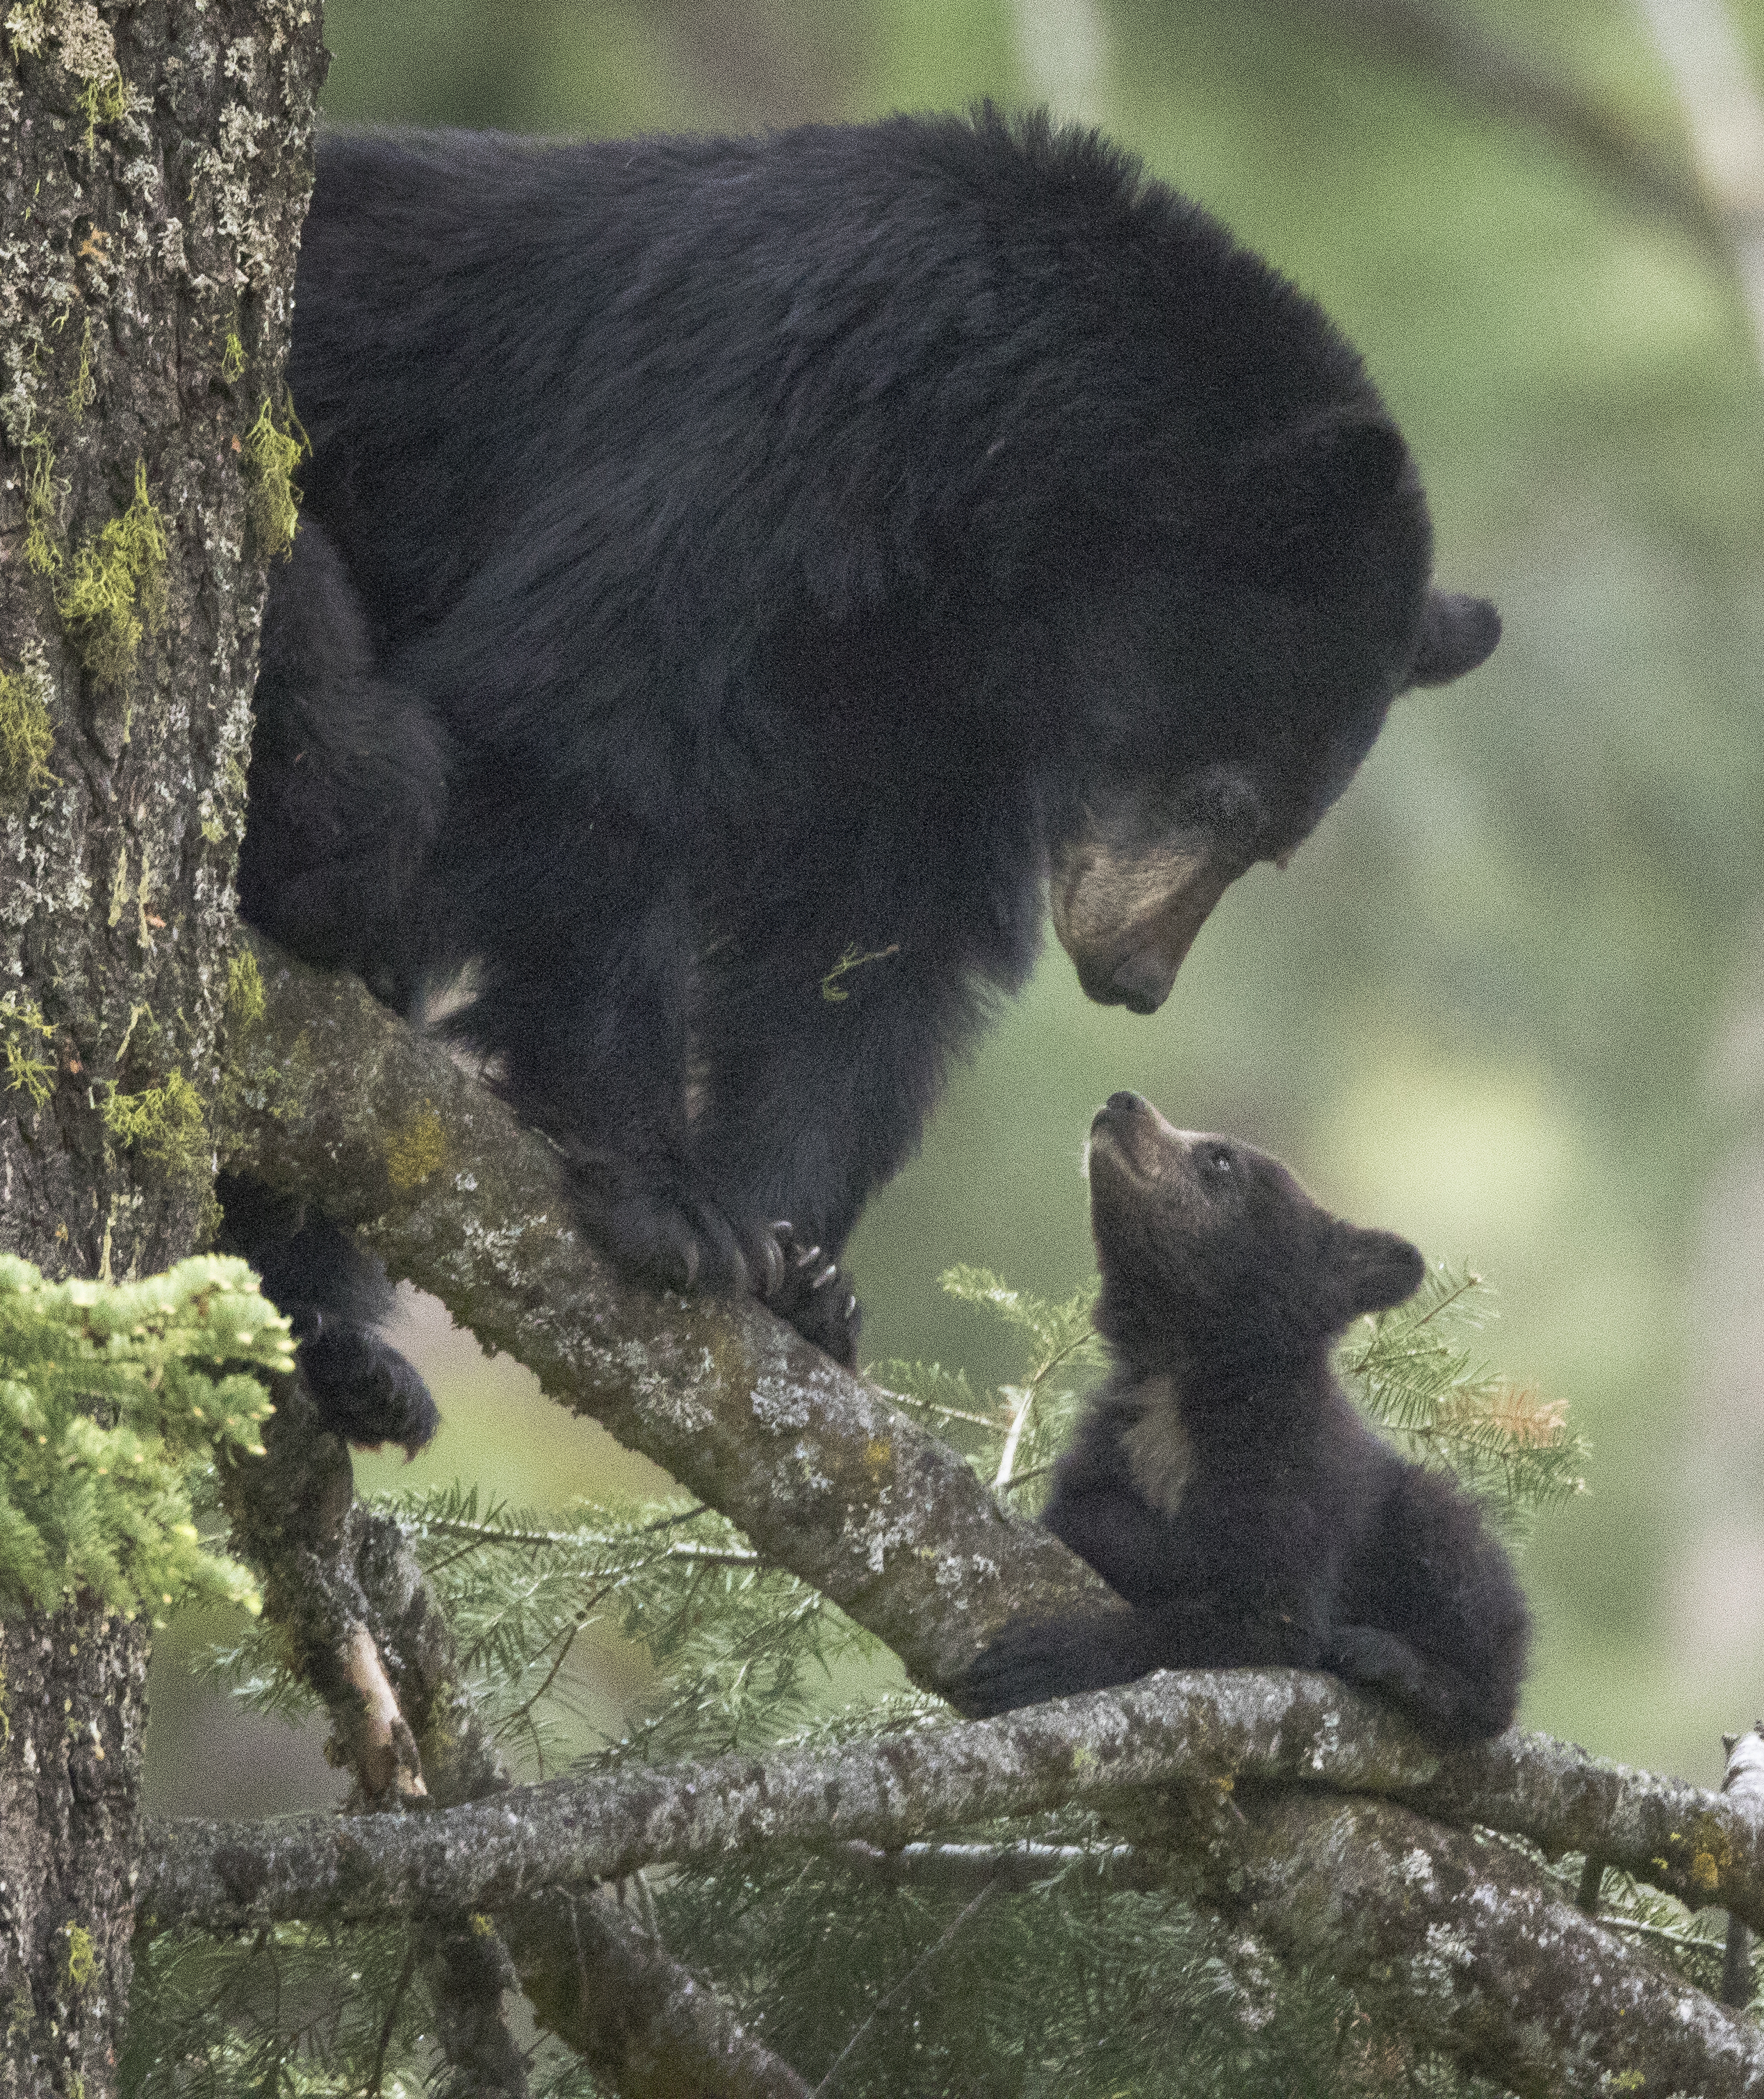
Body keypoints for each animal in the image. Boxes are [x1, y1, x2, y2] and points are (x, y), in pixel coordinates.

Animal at [231, 106, 1503, 1452]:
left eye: (1268, 846)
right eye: (1226, 796)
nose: (1136, 980)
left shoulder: (933, 703)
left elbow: (871, 944)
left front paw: (798, 1270)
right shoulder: (765, 415)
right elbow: (585, 709)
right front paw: (668, 1197)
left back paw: (341, 1354)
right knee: (372, 777)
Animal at [957, 1091, 1520, 1746]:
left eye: (1221, 1159)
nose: (1121, 1101)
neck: (1185, 1375)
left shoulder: (1293, 1476)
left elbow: (1261, 1617)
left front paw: (1045, 1655)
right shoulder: (1116, 1440)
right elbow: (1082, 1516)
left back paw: (1397, 1662)